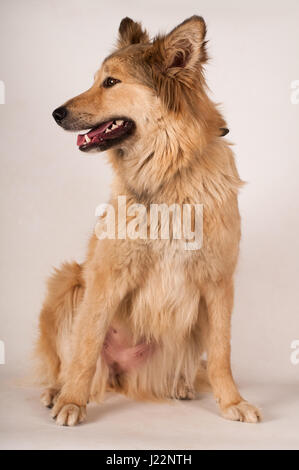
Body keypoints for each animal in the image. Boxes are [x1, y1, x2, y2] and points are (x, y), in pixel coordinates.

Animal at [35, 15, 262, 426]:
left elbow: (221, 353)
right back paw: (57, 390)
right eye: (97, 79)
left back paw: (180, 385)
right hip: (68, 282)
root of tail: (123, 376)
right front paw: (73, 401)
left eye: (111, 82)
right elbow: (86, 345)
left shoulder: (218, 282)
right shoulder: (106, 275)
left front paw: (232, 402)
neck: (169, 172)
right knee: (72, 360)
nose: (56, 113)